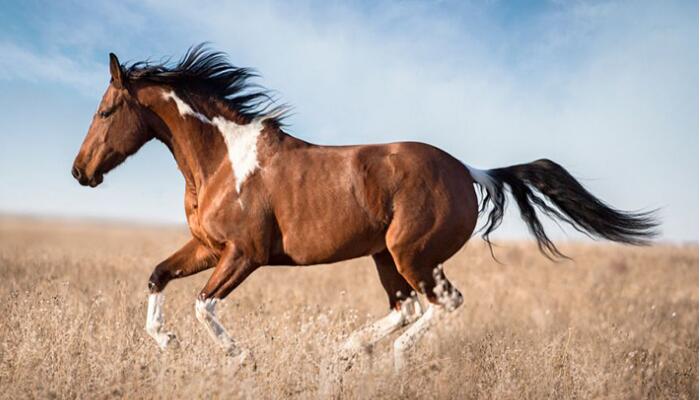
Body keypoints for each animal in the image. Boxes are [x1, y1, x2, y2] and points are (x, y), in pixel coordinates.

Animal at [71, 45, 656, 370]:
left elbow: (203, 304)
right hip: (385, 257)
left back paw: (386, 359)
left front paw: (241, 358)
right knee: (407, 307)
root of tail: (470, 171)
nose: (79, 172)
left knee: (442, 303)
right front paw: (165, 342)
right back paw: (347, 350)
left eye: (105, 111)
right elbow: (157, 276)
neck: (222, 161)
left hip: (411, 254)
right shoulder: (207, 246)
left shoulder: (245, 254)